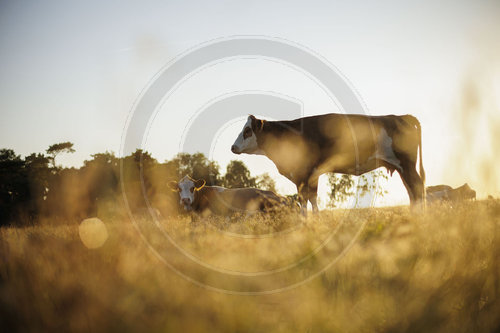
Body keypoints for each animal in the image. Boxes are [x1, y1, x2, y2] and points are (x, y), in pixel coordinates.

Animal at [232, 113, 424, 214]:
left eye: (247, 131)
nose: (233, 147)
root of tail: (400, 116)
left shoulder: (302, 176)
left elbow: (304, 202)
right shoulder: (311, 176)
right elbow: (313, 200)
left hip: (407, 165)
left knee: (418, 188)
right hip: (402, 167)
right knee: (411, 191)